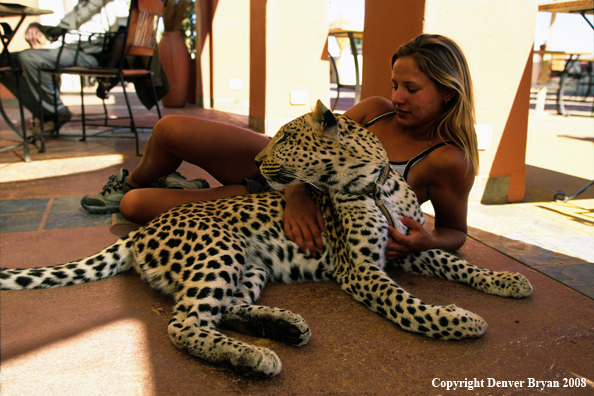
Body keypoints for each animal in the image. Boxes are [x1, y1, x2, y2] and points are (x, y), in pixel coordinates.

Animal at [0, 99, 532, 378]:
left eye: (285, 137)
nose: (256, 163)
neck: (376, 183)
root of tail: (143, 231)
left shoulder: (406, 250)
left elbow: (455, 261)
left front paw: (506, 281)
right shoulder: (362, 268)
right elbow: (408, 305)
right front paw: (458, 321)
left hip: (249, 264)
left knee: (226, 309)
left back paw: (284, 327)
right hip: (219, 251)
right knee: (185, 324)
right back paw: (257, 356)